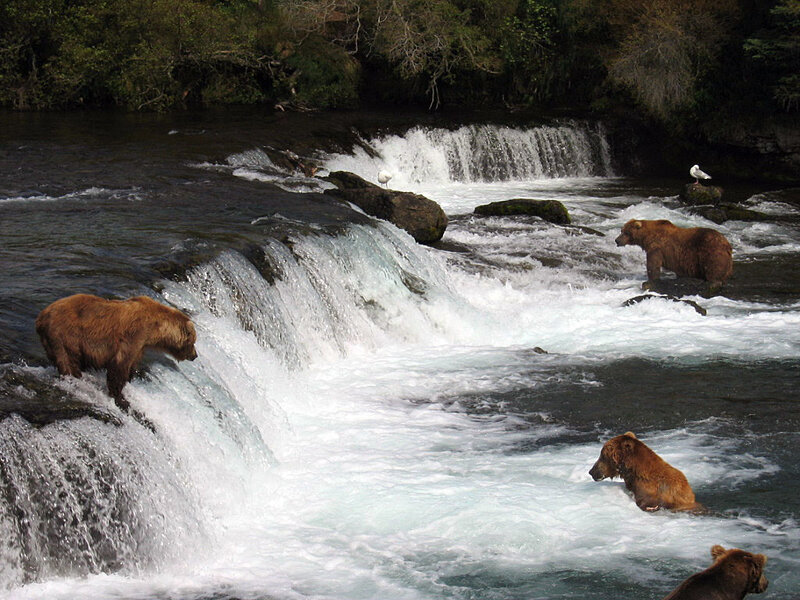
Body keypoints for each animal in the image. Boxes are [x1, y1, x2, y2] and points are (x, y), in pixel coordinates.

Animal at [35, 294, 197, 411]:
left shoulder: (141, 344)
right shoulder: (134, 334)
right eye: (193, 341)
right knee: (68, 359)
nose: (195, 356)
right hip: (65, 335)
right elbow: (119, 365)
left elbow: (132, 363)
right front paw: (120, 397)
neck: (155, 328)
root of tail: (40, 317)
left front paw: (131, 378)